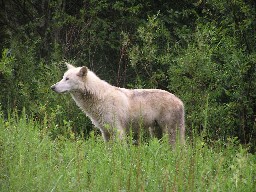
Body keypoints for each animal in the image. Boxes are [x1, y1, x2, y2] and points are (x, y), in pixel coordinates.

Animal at [51, 63, 185, 146]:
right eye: (63, 77)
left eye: (67, 79)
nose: (52, 87)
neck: (98, 98)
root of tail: (180, 101)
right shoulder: (105, 132)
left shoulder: (118, 131)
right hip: (156, 132)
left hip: (170, 131)